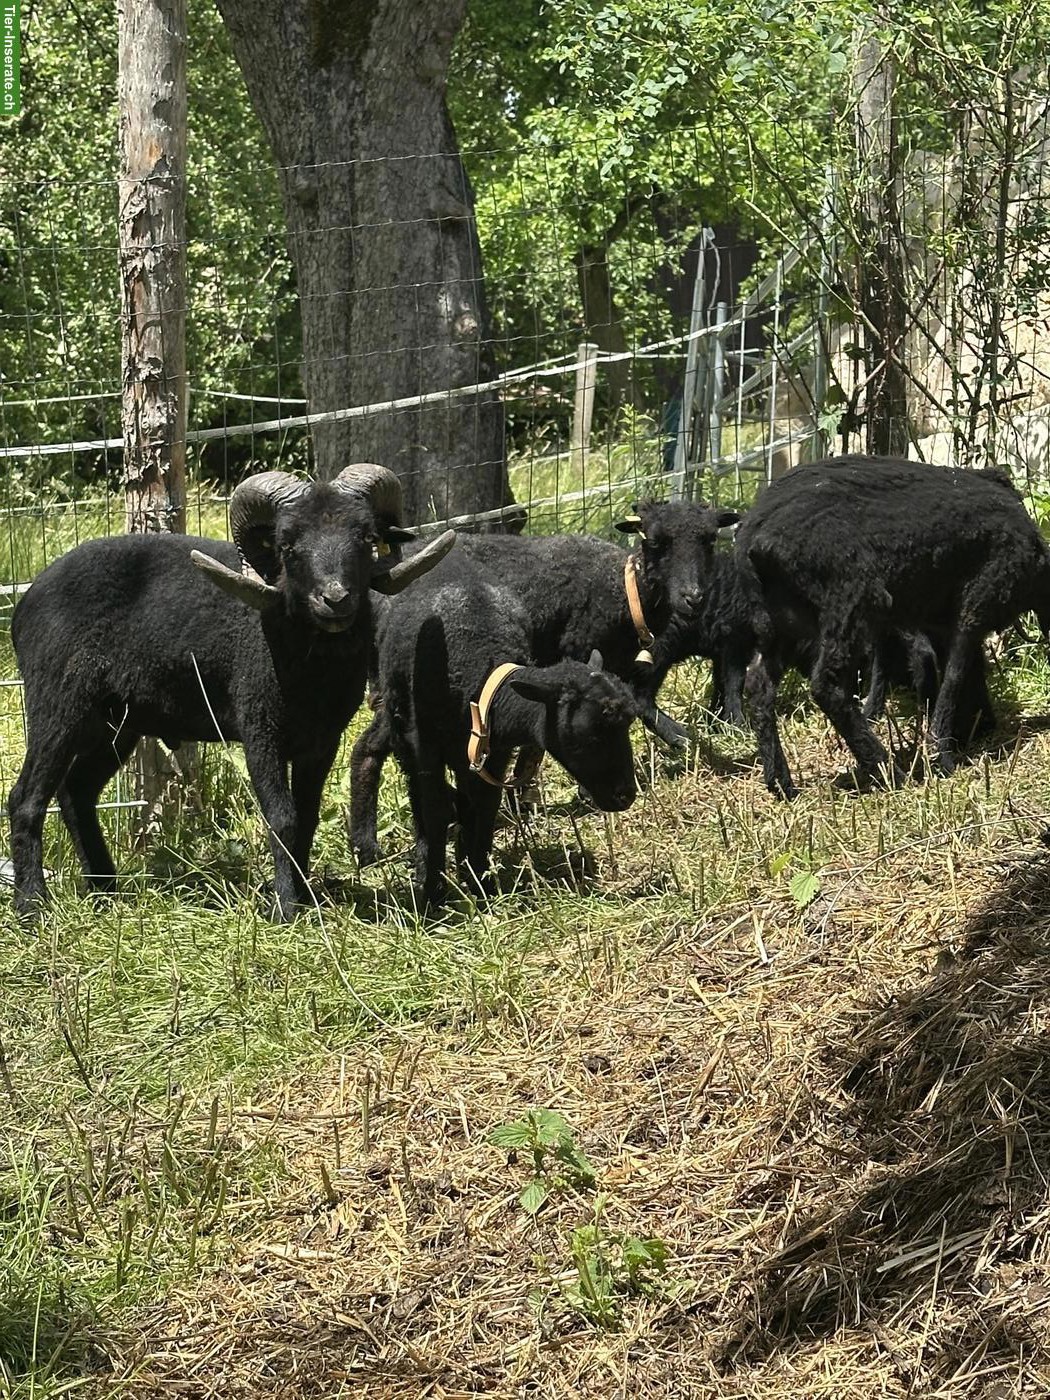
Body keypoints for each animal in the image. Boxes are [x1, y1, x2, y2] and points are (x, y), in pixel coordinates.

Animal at [7, 465, 455, 920]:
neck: (312, 666)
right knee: (26, 798)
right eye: (288, 546)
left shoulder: (322, 740)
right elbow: (282, 817)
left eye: (365, 538)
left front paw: (307, 896)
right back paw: (32, 905)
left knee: (76, 792)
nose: (335, 599)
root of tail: (26, 603)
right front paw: (285, 907)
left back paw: (104, 890)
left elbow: (308, 816)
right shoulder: (259, 728)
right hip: (57, 704)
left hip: (116, 721)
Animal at [348, 497, 738, 866]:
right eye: (655, 541)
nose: (693, 598)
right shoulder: (577, 652)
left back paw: (368, 846)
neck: (626, 592)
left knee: (372, 743)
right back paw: (371, 844)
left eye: (710, 539)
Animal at [373, 551, 639, 906]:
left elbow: (485, 805)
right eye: (591, 733)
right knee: (420, 797)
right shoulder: (425, 745)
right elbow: (434, 809)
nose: (625, 795)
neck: (481, 677)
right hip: (402, 724)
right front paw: (431, 893)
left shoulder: (492, 751)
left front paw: (478, 883)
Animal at [734, 455, 1050, 797]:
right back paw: (887, 771)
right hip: (850, 598)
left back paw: (782, 783)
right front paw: (942, 756)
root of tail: (754, 534)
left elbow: (966, 668)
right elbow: (955, 675)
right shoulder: (977, 602)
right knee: (827, 686)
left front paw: (969, 730)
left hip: (783, 622)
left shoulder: (945, 619)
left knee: (759, 686)